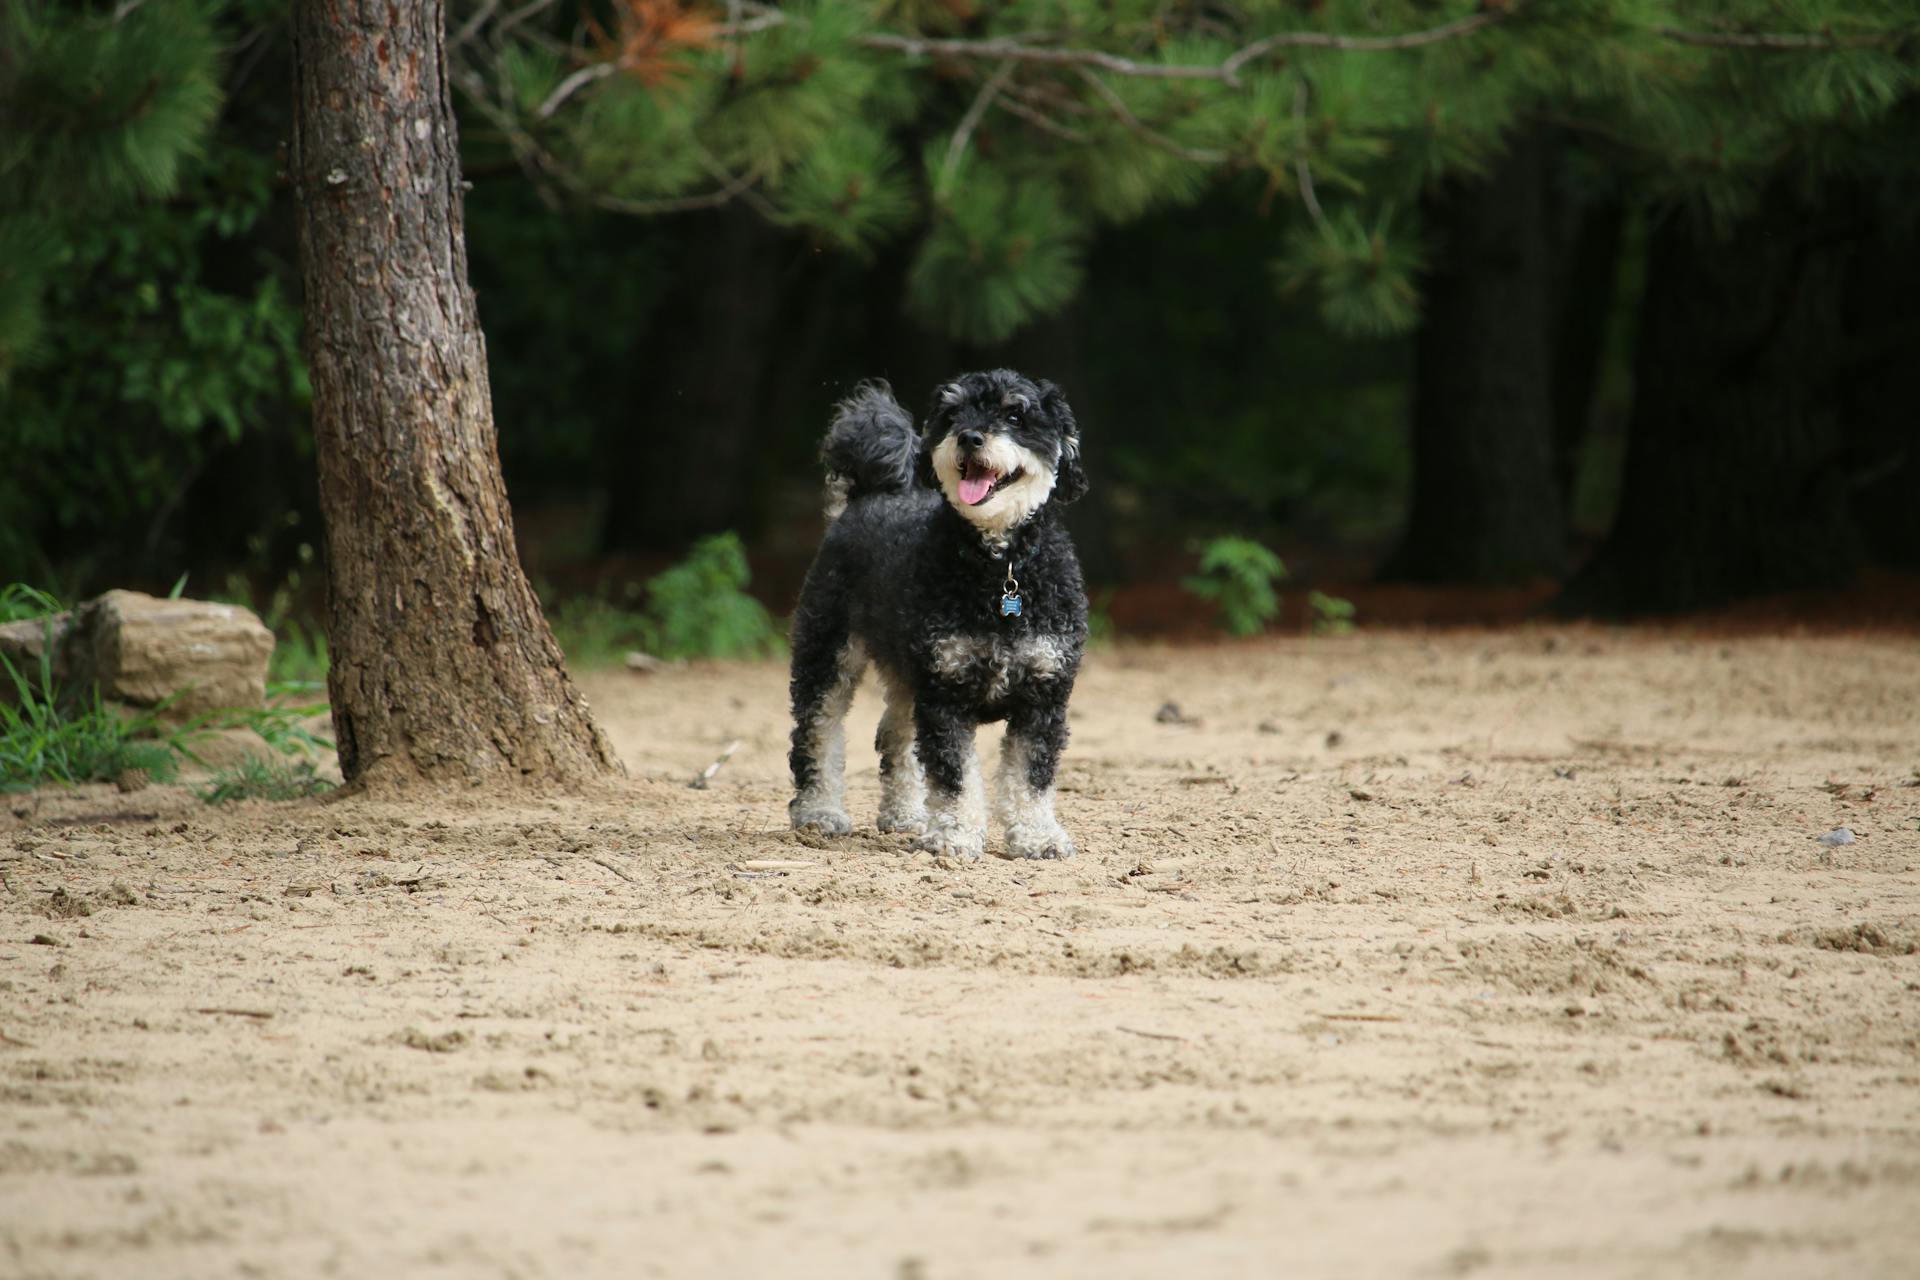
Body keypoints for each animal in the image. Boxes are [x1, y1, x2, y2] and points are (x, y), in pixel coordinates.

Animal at [787, 376, 1090, 867]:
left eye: (1015, 415)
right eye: (953, 415)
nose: (970, 437)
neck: (1000, 572)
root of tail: (868, 494)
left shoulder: (1043, 697)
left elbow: (1031, 776)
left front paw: (1037, 836)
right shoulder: (946, 694)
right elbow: (955, 777)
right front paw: (955, 836)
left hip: (905, 674)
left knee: (893, 736)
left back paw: (904, 813)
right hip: (827, 653)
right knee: (817, 733)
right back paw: (819, 812)